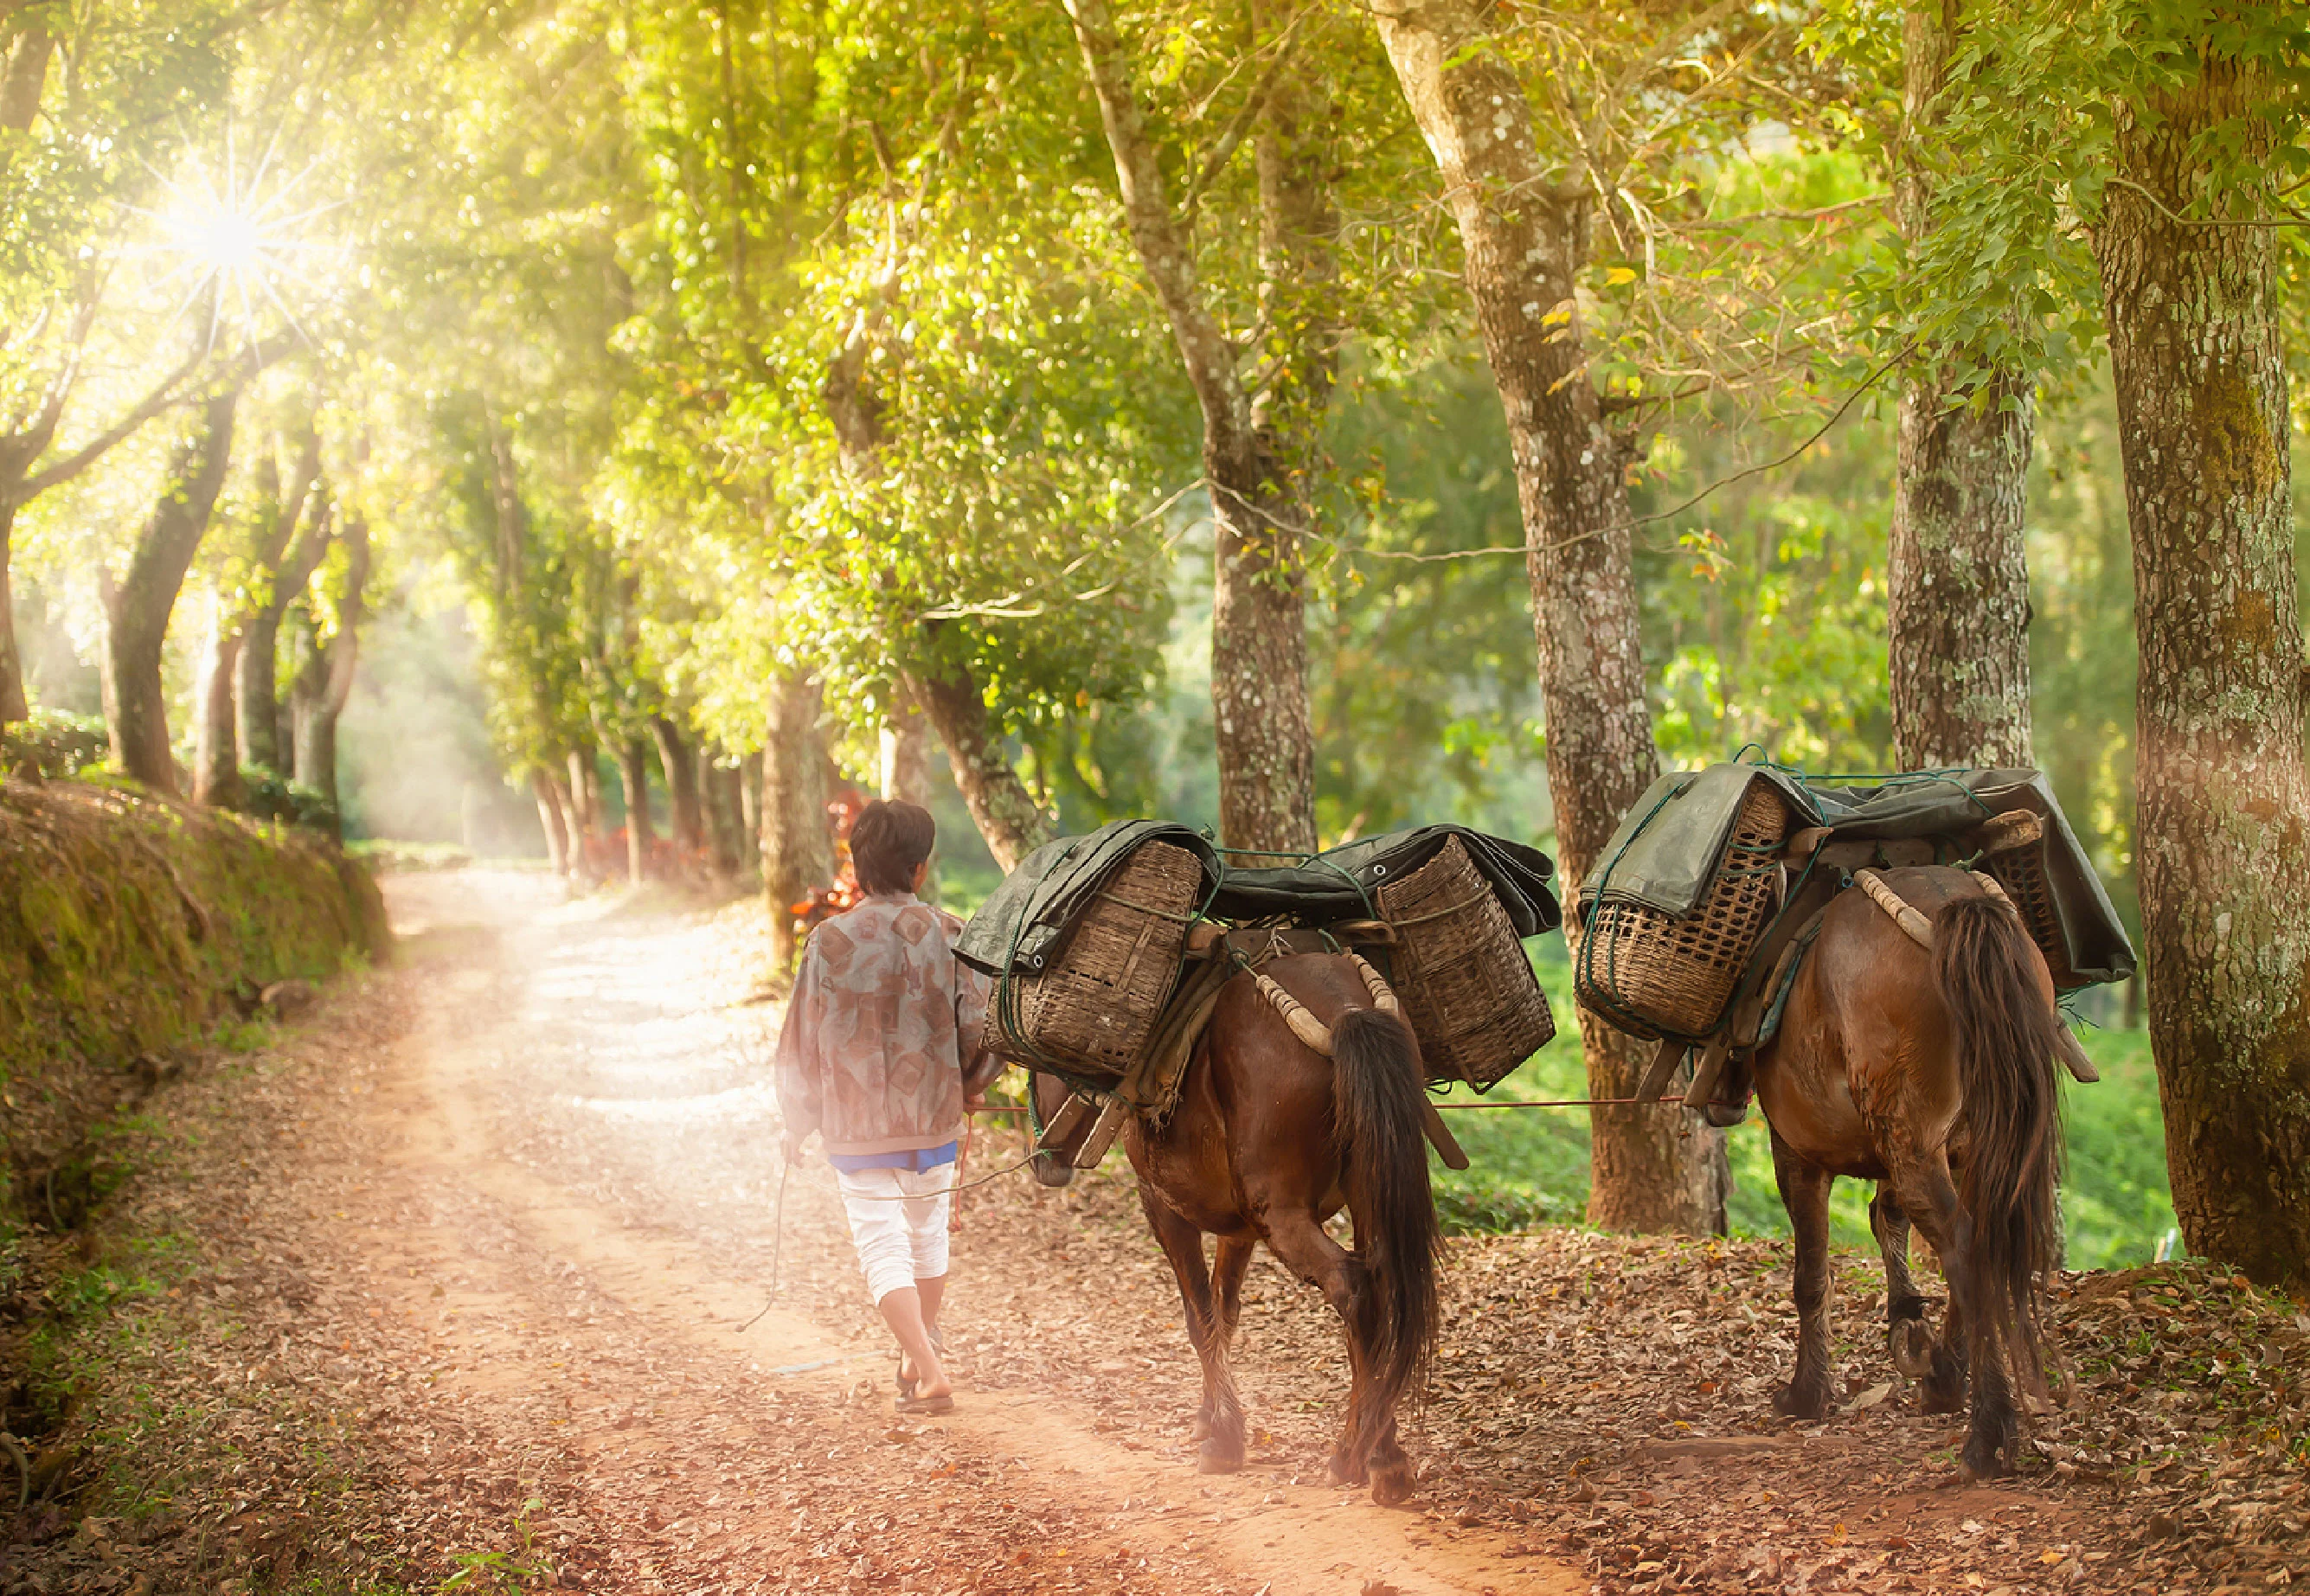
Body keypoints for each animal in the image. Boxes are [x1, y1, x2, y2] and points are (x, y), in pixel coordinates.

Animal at [1029, 951, 1442, 1504]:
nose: (1044, 1162)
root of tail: (1347, 1012)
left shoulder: (1162, 1206)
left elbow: (1199, 1316)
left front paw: (1223, 1440)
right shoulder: (1238, 1230)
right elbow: (1224, 1313)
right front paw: (1213, 1416)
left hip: (1282, 1213)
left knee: (1354, 1289)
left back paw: (1356, 1456)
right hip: (1367, 1194)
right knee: (1383, 1289)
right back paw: (1381, 1450)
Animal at [1750, 865, 2065, 1478]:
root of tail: (1955, 907)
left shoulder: (1797, 1151)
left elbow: (1811, 1274)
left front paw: (1807, 1393)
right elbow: (1887, 1217)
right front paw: (1911, 1327)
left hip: (1909, 1137)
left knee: (1963, 1245)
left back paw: (1988, 1430)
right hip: (1967, 1141)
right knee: (1977, 1237)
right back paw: (1951, 1382)